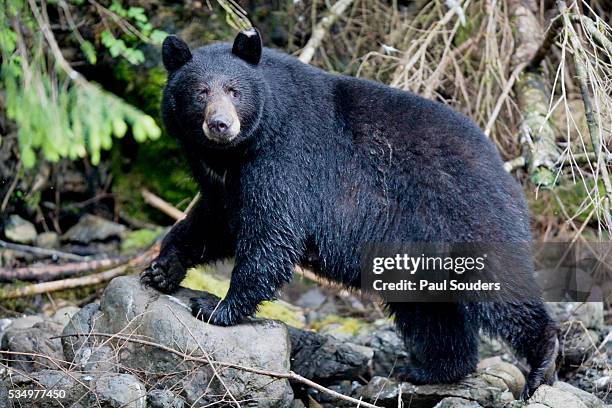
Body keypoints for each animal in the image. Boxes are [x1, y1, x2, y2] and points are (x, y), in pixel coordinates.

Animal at [142, 28, 560, 398]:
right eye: (200, 92)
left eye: (234, 89)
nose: (220, 124)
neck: (235, 152)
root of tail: (507, 176)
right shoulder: (224, 183)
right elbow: (214, 223)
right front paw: (163, 269)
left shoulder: (285, 159)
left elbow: (273, 232)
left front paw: (216, 306)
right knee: (428, 312)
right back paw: (431, 369)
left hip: (464, 217)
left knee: (499, 290)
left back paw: (543, 357)